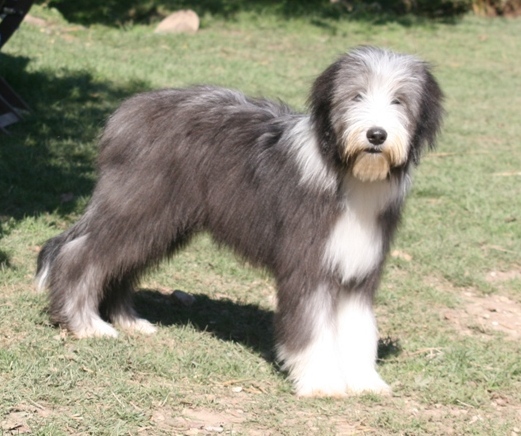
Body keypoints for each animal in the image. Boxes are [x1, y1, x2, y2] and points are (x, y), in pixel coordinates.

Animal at [36, 46, 442, 396]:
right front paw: (322, 382)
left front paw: (365, 381)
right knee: (79, 254)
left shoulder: (358, 270)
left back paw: (128, 320)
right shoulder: (308, 267)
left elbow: (359, 330)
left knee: (119, 265)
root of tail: (128, 111)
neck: (346, 172)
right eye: (356, 96)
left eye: (399, 100)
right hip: (138, 208)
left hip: (159, 223)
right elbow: (312, 329)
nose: (376, 135)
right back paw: (86, 323)